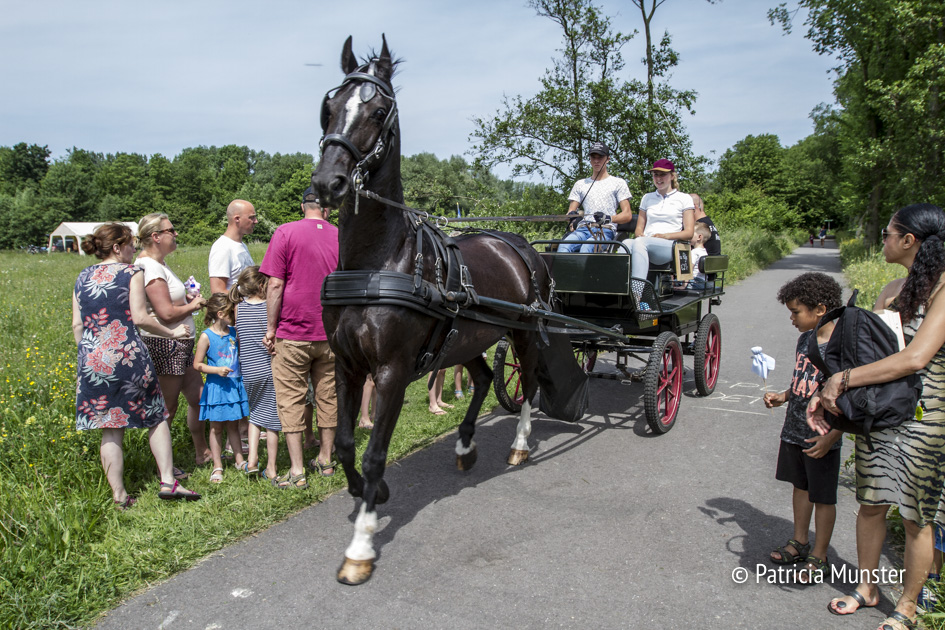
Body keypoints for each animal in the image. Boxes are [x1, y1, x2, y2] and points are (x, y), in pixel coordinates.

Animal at [310, 35, 587, 585]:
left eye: (378, 111)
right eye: (328, 109)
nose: (329, 183)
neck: (377, 261)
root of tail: (519, 244)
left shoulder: (392, 371)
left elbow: (374, 454)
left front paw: (361, 546)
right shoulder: (348, 365)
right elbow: (348, 443)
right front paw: (371, 496)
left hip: (523, 333)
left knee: (530, 383)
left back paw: (519, 445)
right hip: (467, 337)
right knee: (480, 380)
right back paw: (464, 446)